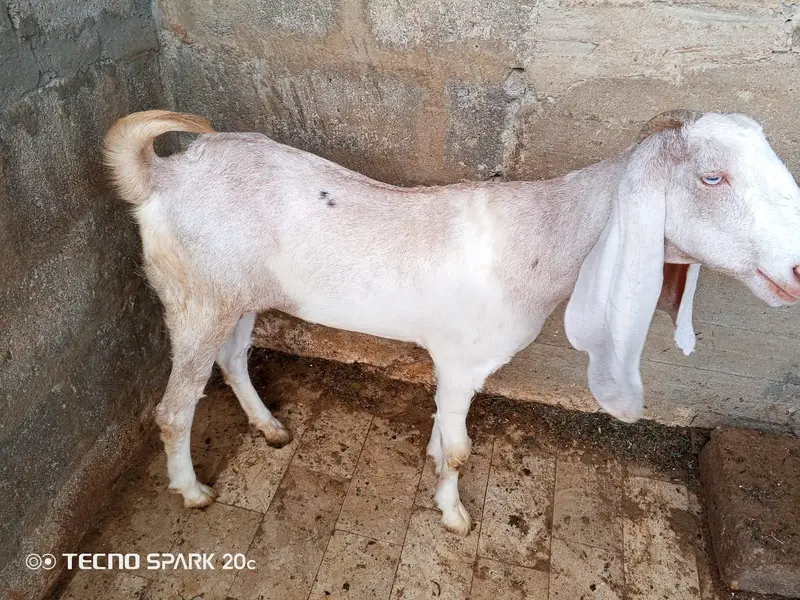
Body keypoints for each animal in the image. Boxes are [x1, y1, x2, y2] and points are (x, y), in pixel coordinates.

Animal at [103, 109, 800, 536]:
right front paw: (455, 515)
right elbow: (464, 449)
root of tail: (161, 175)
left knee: (232, 357)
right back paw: (192, 491)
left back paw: (270, 428)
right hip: (194, 297)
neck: (539, 240)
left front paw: (437, 465)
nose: (796, 268)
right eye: (712, 176)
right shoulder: (464, 360)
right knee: (174, 408)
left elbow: (446, 432)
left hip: (239, 293)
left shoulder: (454, 366)